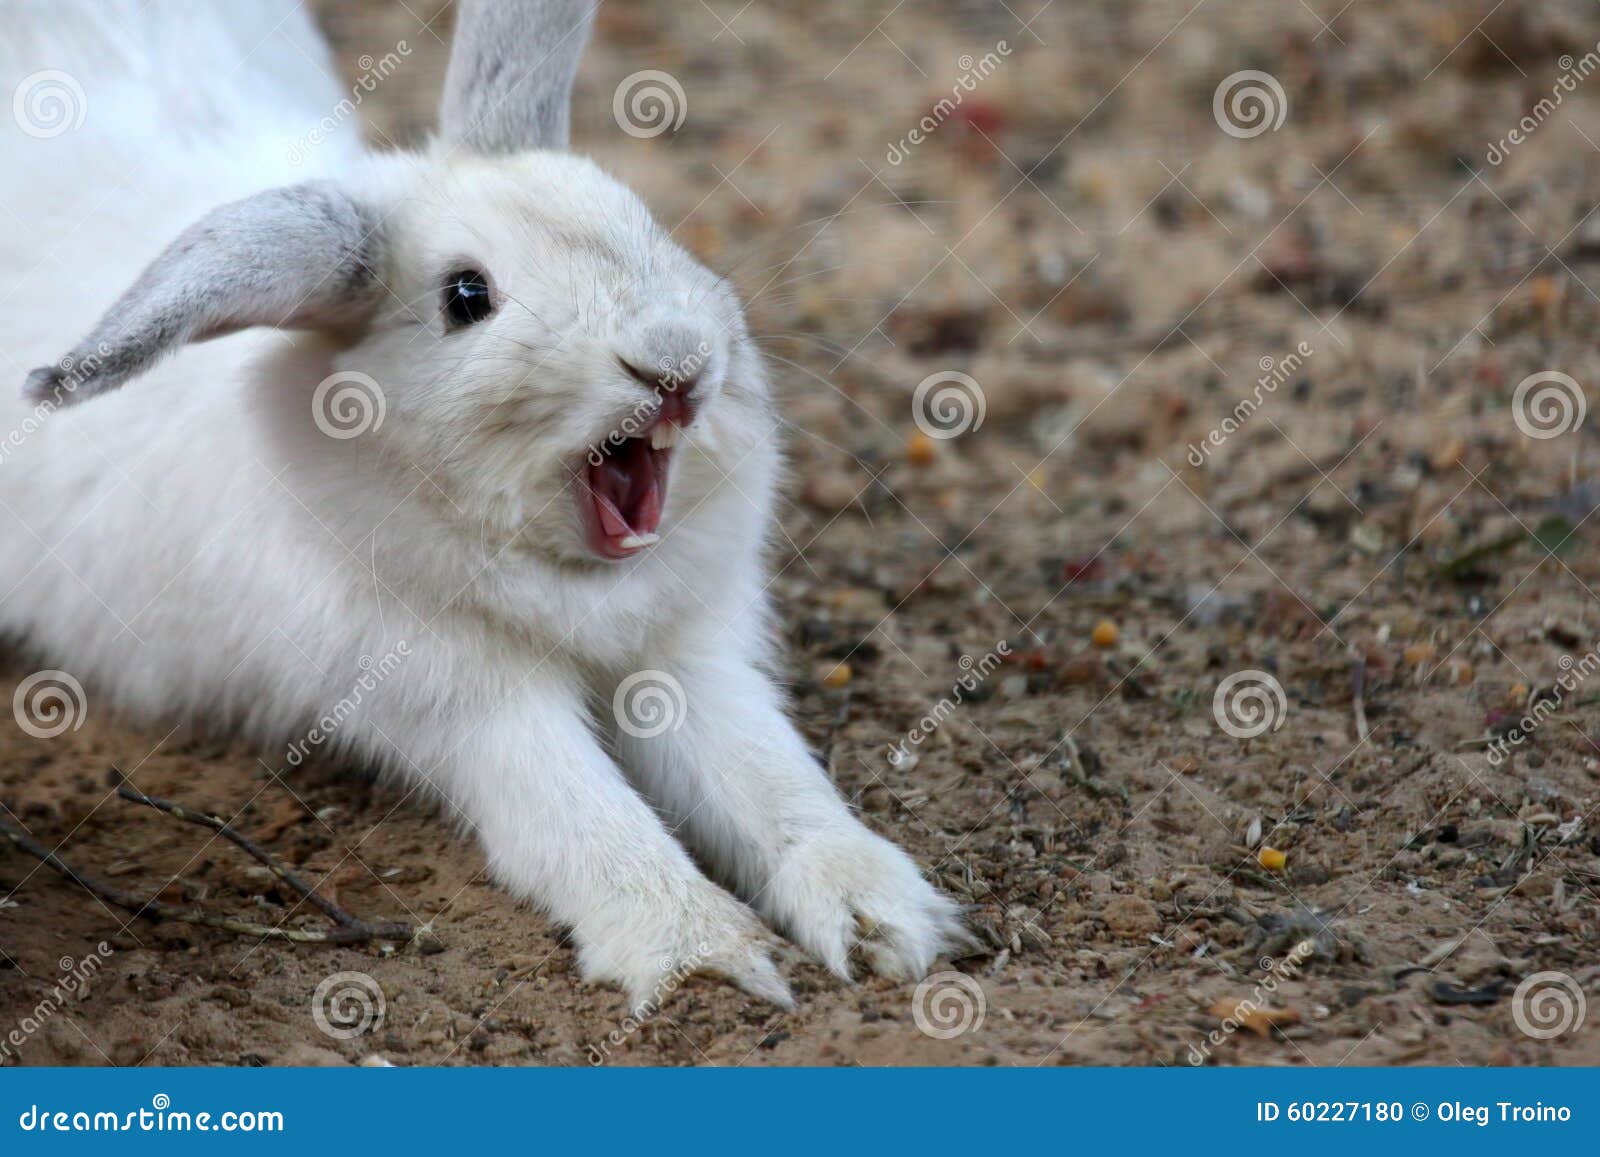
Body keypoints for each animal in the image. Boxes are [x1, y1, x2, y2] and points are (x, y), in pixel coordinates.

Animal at [0, 0, 968, 1011]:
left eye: (645, 223)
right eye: (466, 296)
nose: (676, 363)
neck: (576, 580)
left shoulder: (690, 661)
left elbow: (769, 777)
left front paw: (885, 920)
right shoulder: (469, 702)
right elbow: (584, 817)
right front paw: (704, 958)